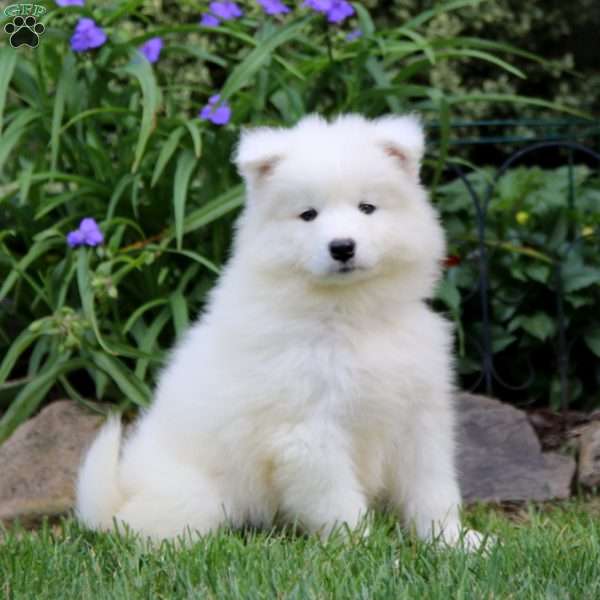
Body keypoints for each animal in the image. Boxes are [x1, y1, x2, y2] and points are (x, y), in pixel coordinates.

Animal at [77, 112, 486, 548]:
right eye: (308, 215)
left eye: (367, 207)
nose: (342, 247)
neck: (350, 313)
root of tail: (118, 503)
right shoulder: (309, 432)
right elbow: (339, 503)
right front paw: (364, 548)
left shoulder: (419, 417)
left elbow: (433, 489)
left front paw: (457, 541)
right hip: (198, 497)